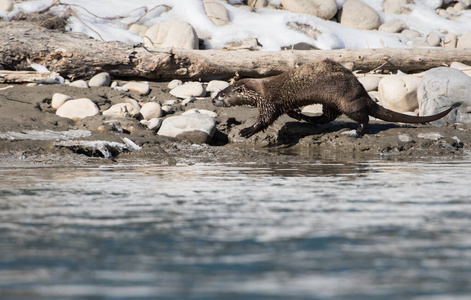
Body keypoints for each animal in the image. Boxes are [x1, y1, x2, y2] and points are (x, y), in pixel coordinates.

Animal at [213, 59, 454, 138]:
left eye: (223, 94)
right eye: (217, 93)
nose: (214, 100)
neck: (261, 90)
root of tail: (363, 93)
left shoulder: (269, 101)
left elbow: (266, 119)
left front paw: (247, 130)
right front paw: (295, 113)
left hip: (347, 102)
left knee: (363, 117)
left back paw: (357, 132)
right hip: (331, 101)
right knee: (326, 116)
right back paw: (306, 118)